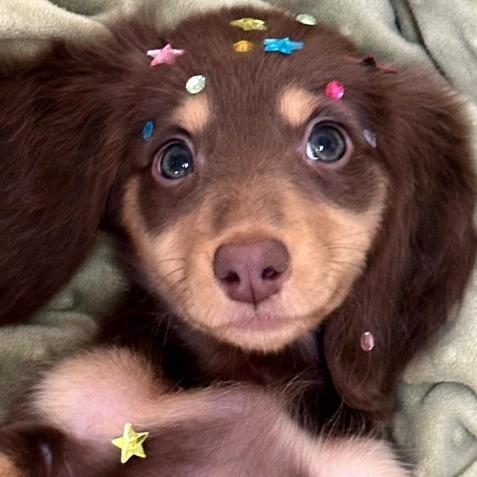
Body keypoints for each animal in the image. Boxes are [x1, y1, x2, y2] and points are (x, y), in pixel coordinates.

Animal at [0, 5, 475, 476]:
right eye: (174, 160)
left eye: (327, 143)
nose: (250, 268)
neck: (252, 376)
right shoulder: (80, 393)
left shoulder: (359, 461)